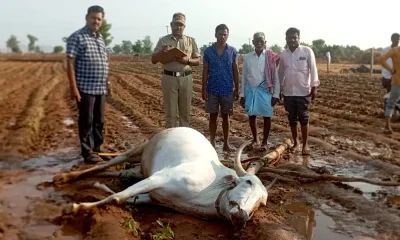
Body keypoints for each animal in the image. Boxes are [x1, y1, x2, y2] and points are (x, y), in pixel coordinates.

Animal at [54, 127, 278, 231]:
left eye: (262, 203)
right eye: (248, 182)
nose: (242, 216)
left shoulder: (152, 197)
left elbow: (123, 198)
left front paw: (98, 187)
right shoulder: (159, 178)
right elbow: (118, 197)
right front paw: (74, 208)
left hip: (141, 168)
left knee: (117, 172)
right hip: (139, 150)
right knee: (111, 162)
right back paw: (64, 176)